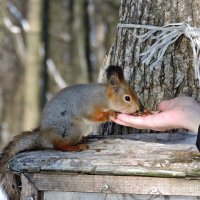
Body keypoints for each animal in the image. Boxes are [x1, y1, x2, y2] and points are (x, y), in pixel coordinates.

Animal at [0, 65, 142, 199]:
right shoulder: (90, 106)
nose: (139, 108)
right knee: (59, 146)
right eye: (127, 98)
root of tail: (44, 135)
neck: (104, 97)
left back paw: (83, 139)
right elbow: (95, 116)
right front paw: (111, 114)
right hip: (71, 129)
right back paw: (76, 147)